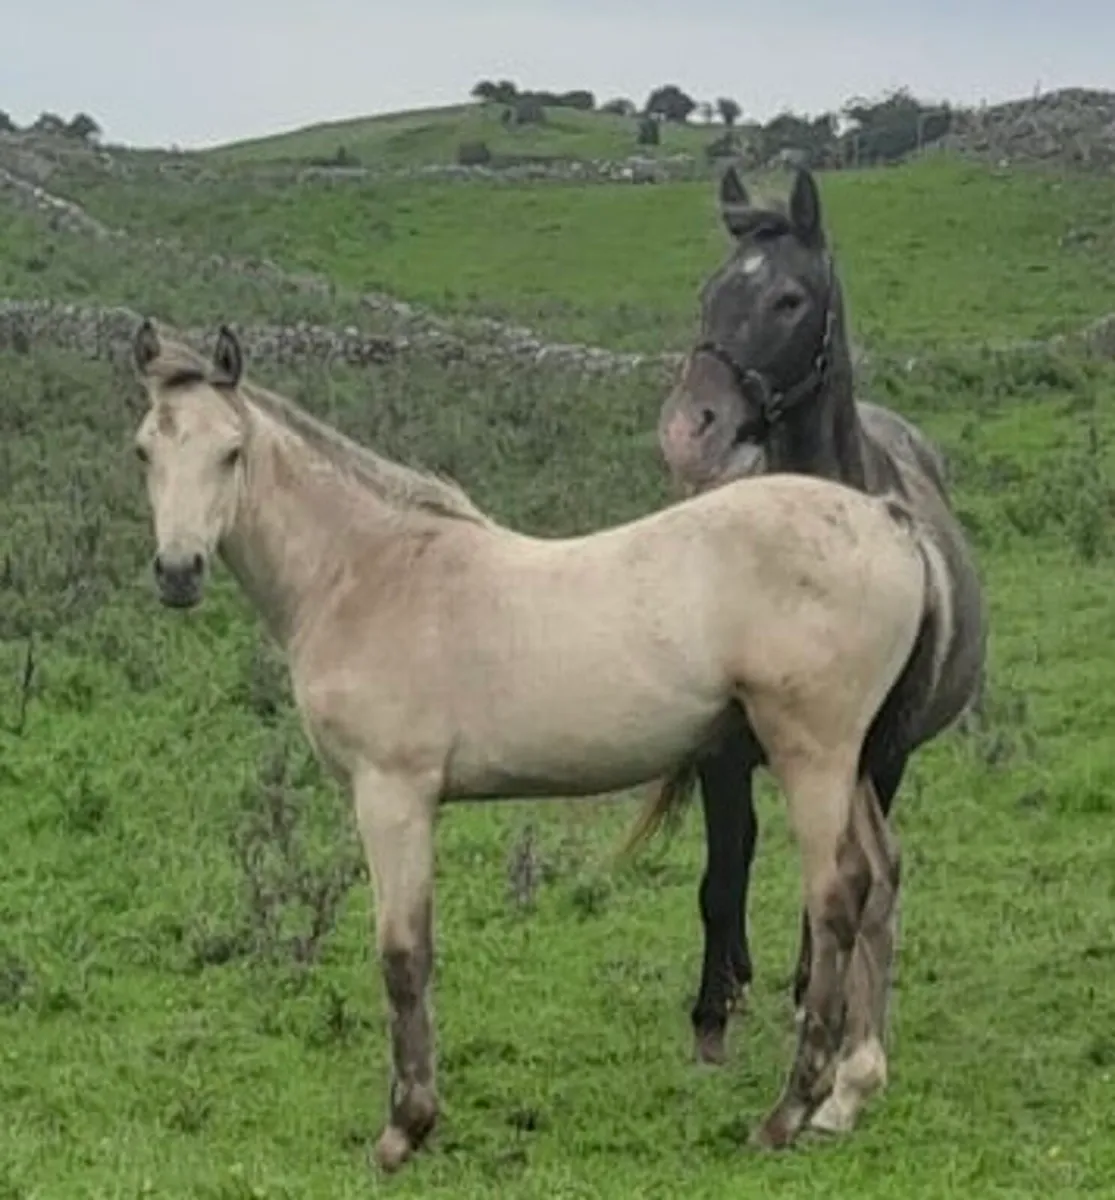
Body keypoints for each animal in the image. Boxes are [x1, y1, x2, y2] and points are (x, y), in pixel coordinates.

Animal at [129, 318, 951, 1167]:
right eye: (145, 450)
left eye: (230, 451)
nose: (178, 571)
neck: (367, 573)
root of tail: (888, 520)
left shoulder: (392, 794)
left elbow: (403, 955)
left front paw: (404, 1127)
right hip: (853, 764)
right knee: (882, 880)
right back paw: (848, 1094)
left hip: (812, 755)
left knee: (836, 896)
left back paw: (786, 1112)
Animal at [646, 164, 987, 1132]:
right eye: (709, 292)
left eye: (788, 299)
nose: (687, 427)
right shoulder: (723, 758)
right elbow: (721, 878)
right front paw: (710, 1019)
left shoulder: (870, 757)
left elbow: (839, 879)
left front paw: (821, 1021)